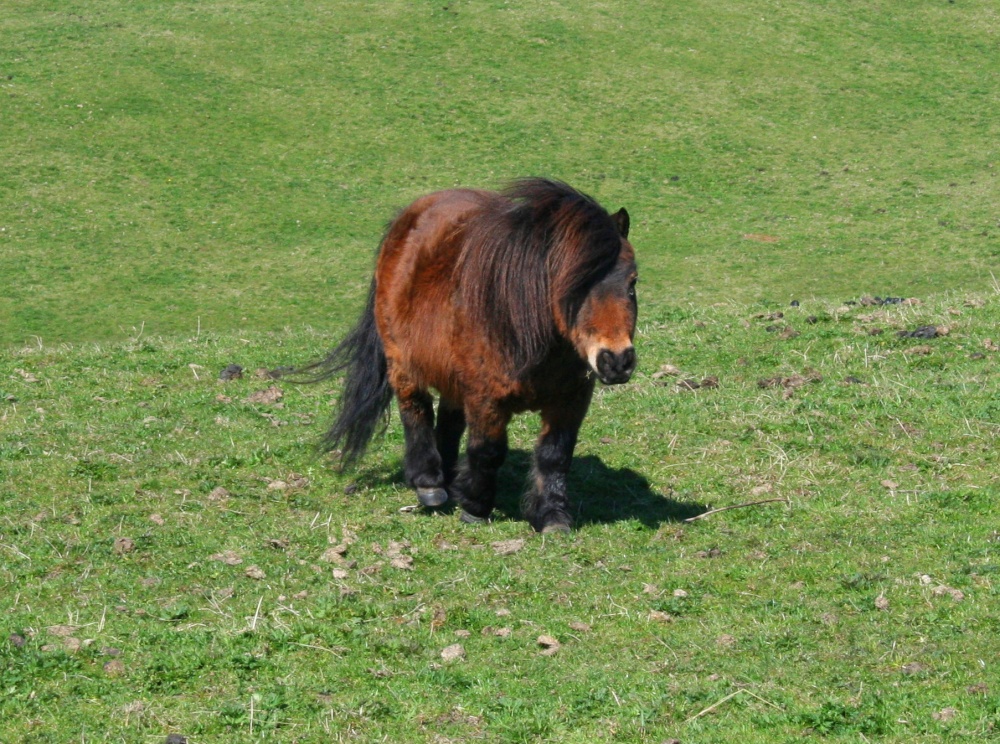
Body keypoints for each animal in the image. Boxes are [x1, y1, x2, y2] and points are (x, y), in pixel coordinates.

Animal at [302, 178, 638, 532]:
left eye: (632, 282)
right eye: (573, 285)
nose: (617, 361)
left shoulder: (571, 399)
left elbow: (555, 454)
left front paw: (553, 515)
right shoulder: (485, 397)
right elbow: (487, 450)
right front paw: (476, 507)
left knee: (449, 421)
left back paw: (449, 478)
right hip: (403, 363)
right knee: (415, 410)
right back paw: (429, 483)